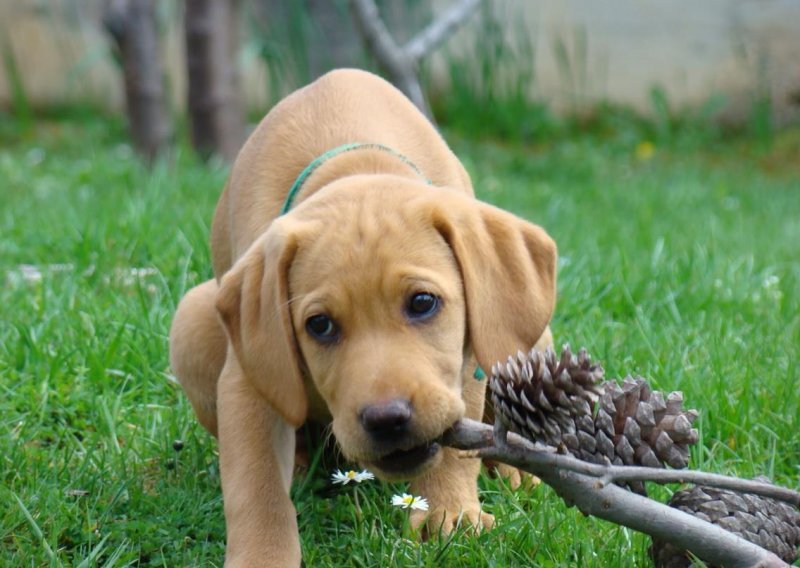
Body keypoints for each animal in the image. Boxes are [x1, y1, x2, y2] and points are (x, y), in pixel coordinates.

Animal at [169, 69, 556, 564]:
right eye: (319, 325)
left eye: (423, 302)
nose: (387, 420)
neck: (356, 163)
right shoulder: (248, 377)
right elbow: (255, 485)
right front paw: (263, 557)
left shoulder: (466, 354)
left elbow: (457, 437)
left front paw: (448, 514)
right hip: (193, 321)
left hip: (531, 341)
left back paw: (514, 470)